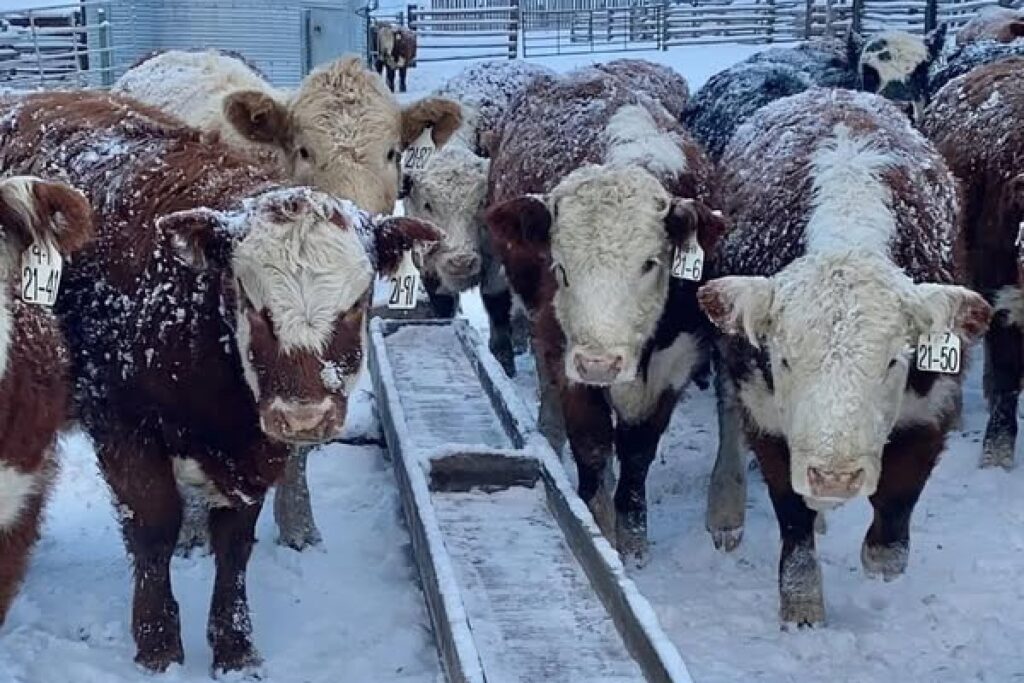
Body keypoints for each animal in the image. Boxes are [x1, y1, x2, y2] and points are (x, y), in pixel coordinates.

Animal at [0, 90, 442, 673]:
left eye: (356, 303)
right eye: (252, 303)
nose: (304, 416)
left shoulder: (254, 447)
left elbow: (235, 542)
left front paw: (234, 645)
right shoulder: (122, 423)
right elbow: (153, 528)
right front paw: (158, 644)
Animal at [485, 69, 727, 563]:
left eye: (650, 263)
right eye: (560, 267)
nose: (600, 363)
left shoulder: (677, 362)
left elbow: (638, 452)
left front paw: (633, 536)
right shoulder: (568, 355)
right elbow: (593, 446)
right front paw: (601, 530)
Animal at [700, 87, 990, 626]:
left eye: (895, 361)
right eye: (784, 360)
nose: (834, 476)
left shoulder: (932, 400)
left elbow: (893, 521)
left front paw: (882, 560)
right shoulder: (765, 407)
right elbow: (791, 512)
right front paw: (802, 604)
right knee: (729, 414)